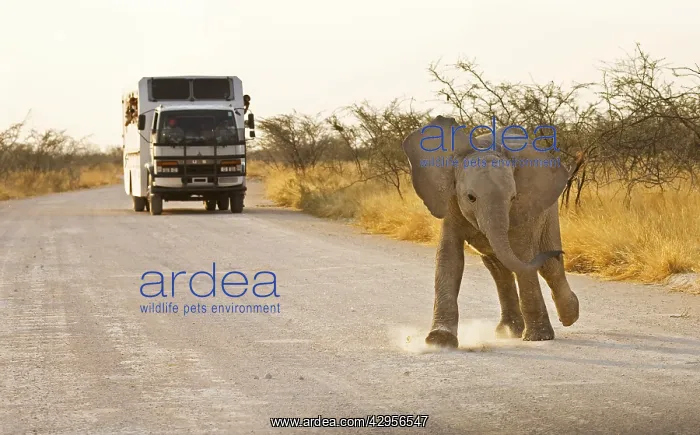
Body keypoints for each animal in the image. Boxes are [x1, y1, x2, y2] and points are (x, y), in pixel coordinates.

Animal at [401, 115, 580, 346]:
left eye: (513, 198)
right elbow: (449, 257)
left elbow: (523, 256)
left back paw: (569, 316)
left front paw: (539, 338)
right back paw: (508, 332)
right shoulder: (451, 200)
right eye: (471, 197)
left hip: (548, 211)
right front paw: (438, 341)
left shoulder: (524, 208)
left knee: (548, 266)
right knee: (498, 267)